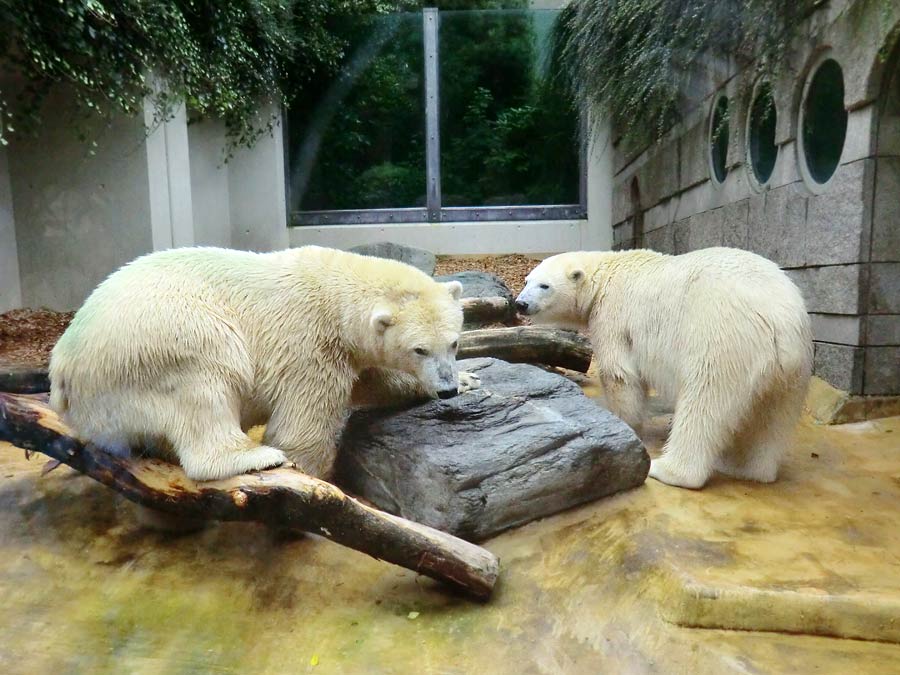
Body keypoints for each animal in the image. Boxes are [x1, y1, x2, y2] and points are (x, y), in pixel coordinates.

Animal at [48, 246, 478, 484]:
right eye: (419, 349)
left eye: (454, 342)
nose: (446, 389)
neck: (333, 291)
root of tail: (62, 366)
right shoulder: (306, 343)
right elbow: (301, 427)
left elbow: (372, 380)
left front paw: (470, 378)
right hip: (158, 337)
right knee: (207, 378)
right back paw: (253, 456)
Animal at [512, 246, 816, 488]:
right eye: (527, 280)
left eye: (544, 286)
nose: (521, 303)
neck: (606, 272)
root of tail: (781, 322)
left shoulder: (613, 315)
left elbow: (620, 374)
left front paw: (624, 425)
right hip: (794, 369)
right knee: (773, 416)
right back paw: (746, 468)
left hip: (724, 339)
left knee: (704, 401)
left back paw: (668, 469)